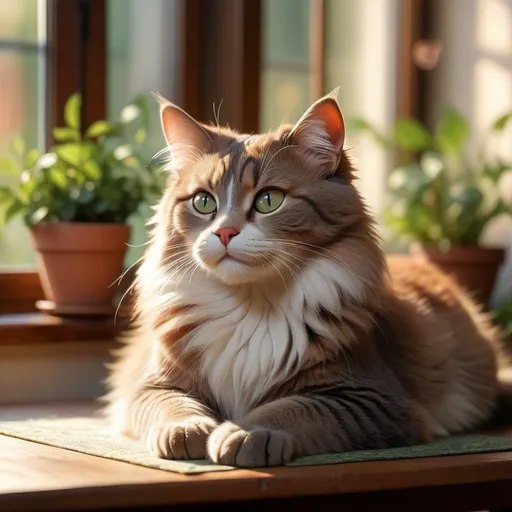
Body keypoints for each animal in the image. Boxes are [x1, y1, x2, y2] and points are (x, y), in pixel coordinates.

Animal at [102, 89, 506, 468]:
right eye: (204, 203)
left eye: (268, 200)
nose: (225, 233)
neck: (251, 307)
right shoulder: (152, 384)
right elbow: (173, 407)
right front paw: (189, 431)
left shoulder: (370, 396)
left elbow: (290, 408)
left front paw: (244, 433)